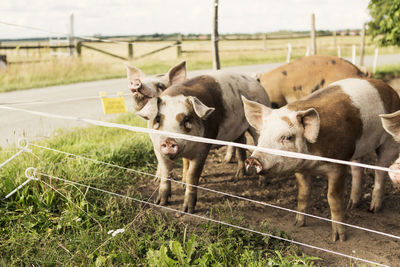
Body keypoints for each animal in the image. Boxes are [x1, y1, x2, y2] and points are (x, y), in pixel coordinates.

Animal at [136, 71, 270, 214]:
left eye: (186, 119)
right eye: (158, 119)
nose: (169, 140)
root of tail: (256, 82)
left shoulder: (202, 149)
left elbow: (192, 175)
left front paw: (187, 210)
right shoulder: (157, 149)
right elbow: (166, 173)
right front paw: (160, 203)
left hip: (257, 126)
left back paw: (261, 184)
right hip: (238, 131)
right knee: (241, 144)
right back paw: (237, 177)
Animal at [241, 78, 400, 243]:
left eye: (287, 137)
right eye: (262, 135)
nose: (253, 159)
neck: (313, 164)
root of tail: (387, 87)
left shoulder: (338, 165)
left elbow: (333, 199)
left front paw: (339, 239)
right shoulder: (301, 169)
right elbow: (303, 194)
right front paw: (298, 224)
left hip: (389, 143)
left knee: (380, 170)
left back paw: (373, 209)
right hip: (357, 147)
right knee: (358, 169)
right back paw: (352, 205)